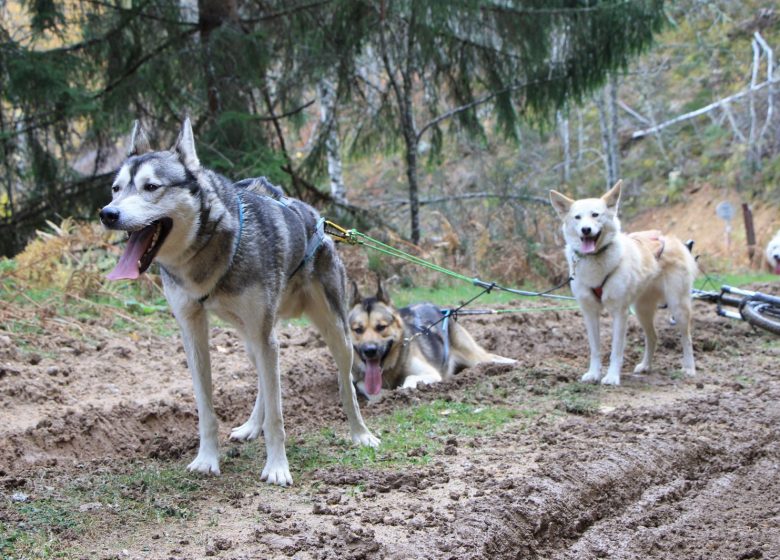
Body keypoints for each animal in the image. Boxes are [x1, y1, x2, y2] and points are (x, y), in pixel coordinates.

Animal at [350, 280, 516, 398]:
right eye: (358, 330)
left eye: (381, 327)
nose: (369, 350)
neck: (389, 369)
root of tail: (441, 310)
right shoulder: (359, 380)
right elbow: (364, 387)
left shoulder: (430, 374)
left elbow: (409, 380)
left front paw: (401, 391)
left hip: (474, 358)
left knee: (491, 358)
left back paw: (515, 363)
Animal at [552, 182, 696, 388]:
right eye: (577, 217)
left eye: (595, 215)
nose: (586, 230)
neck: (596, 261)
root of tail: (671, 240)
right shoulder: (589, 313)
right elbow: (595, 349)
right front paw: (593, 374)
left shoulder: (619, 312)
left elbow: (616, 350)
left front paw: (612, 377)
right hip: (642, 310)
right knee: (653, 337)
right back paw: (646, 366)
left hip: (678, 307)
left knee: (687, 338)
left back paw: (689, 368)